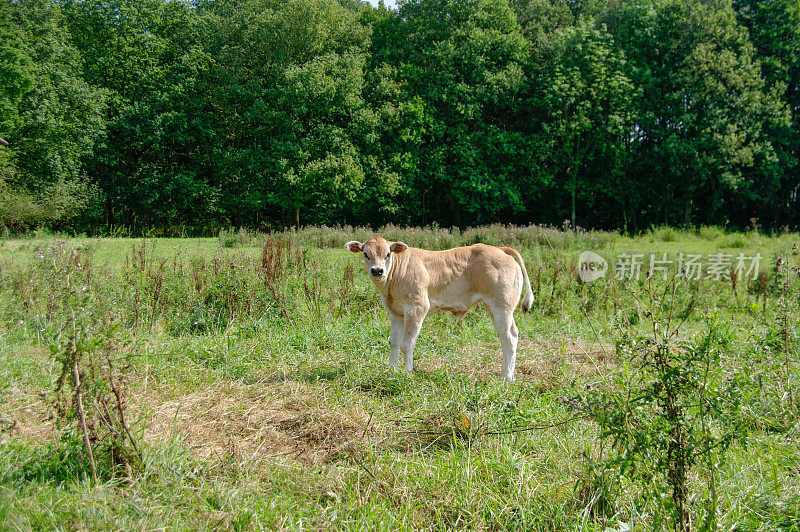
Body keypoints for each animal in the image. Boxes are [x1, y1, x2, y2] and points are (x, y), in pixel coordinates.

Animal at [346, 237, 536, 382]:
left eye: (387, 254)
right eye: (366, 254)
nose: (377, 271)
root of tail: (499, 249)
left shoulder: (417, 308)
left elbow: (407, 344)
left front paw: (407, 374)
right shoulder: (396, 313)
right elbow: (394, 342)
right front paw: (392, 371)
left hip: (502, 307)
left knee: (510, 337)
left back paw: (507, 378)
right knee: (507, 337)